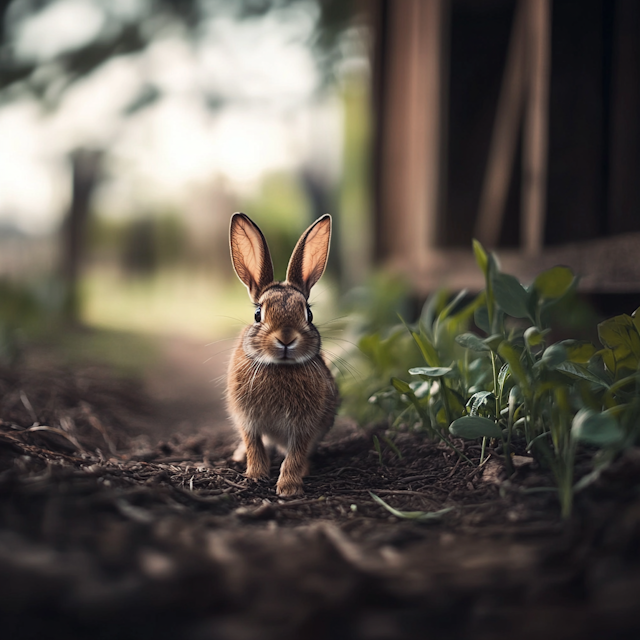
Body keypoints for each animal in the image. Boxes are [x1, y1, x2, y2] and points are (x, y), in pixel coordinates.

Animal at [226, 212, 340, 498]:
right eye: (258, 314)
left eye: (309, 314)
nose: (286, 338)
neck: (279, 366)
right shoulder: (248, 420)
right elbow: (254, 444)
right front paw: (256, 475)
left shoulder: (304, 427)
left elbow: (296, 454)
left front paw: (288, 488)